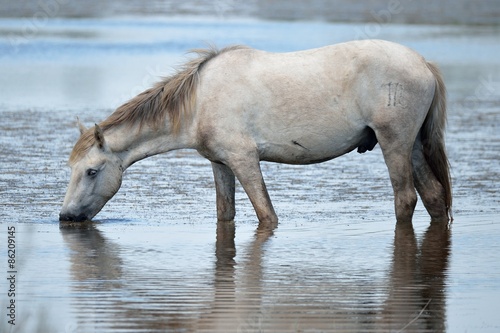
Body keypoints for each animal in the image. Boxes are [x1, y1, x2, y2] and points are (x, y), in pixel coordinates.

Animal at [59, 40, 454, 224]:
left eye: (91, 171)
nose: (65, 217)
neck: (201, 101)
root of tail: (422, 63)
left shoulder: (244, 160)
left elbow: (267, 214)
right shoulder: (220, 164)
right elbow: (226, 214)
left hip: (394, 143)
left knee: (405, 199)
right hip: (412, 146)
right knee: (434, 197)